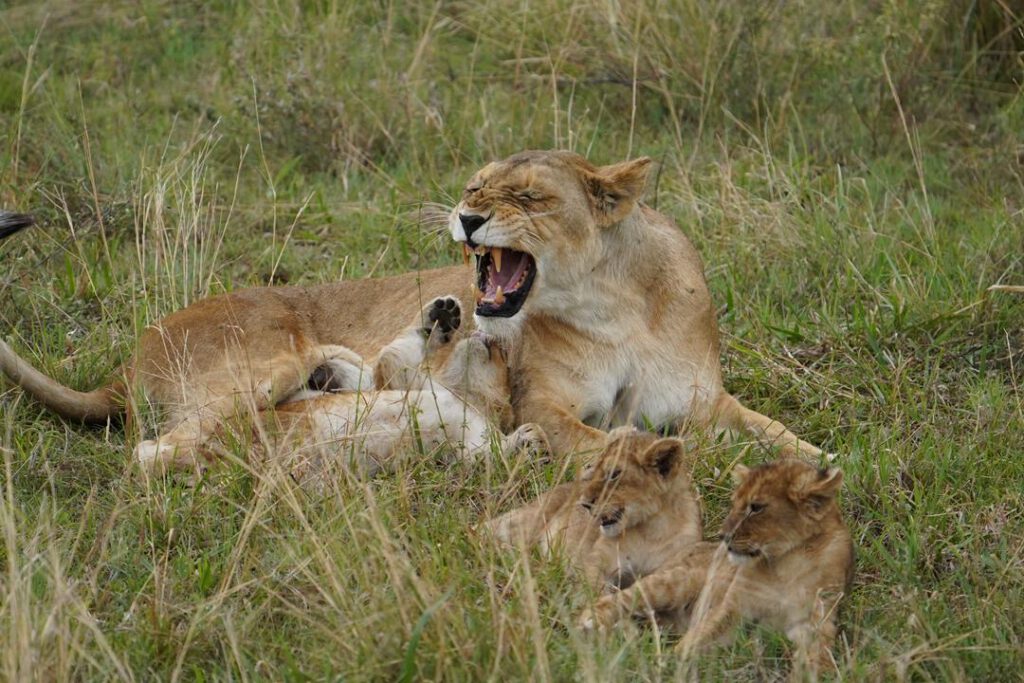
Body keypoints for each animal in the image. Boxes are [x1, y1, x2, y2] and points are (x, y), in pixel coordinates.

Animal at [0, 150, 821, 467]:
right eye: (475, 184)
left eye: (529, 197)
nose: (467, 218)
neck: (615, 303)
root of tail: (131, 357)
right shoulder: (542, 403)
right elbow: (595, 437)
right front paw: (645, 452)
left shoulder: (702, 399)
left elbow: (772, 430)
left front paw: (818, 462)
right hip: (258, 360)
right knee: (170, 446)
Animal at [484, 428, 702, 592]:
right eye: (594, 470)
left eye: (613, 474)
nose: (584, 503)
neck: (649, 531)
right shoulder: (593, 562)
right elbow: (595, 591)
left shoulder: (666, 567)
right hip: (527, 521)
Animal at [578, 458, 854, 679]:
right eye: (735, 504)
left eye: (756, 507)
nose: (723, 536)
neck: (785, 564)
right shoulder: (733, 608)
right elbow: (697, 639)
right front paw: (671, 664)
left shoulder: (815, 623)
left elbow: (819, 658)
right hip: (678, 580)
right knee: (625, 596)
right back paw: (592, 620)